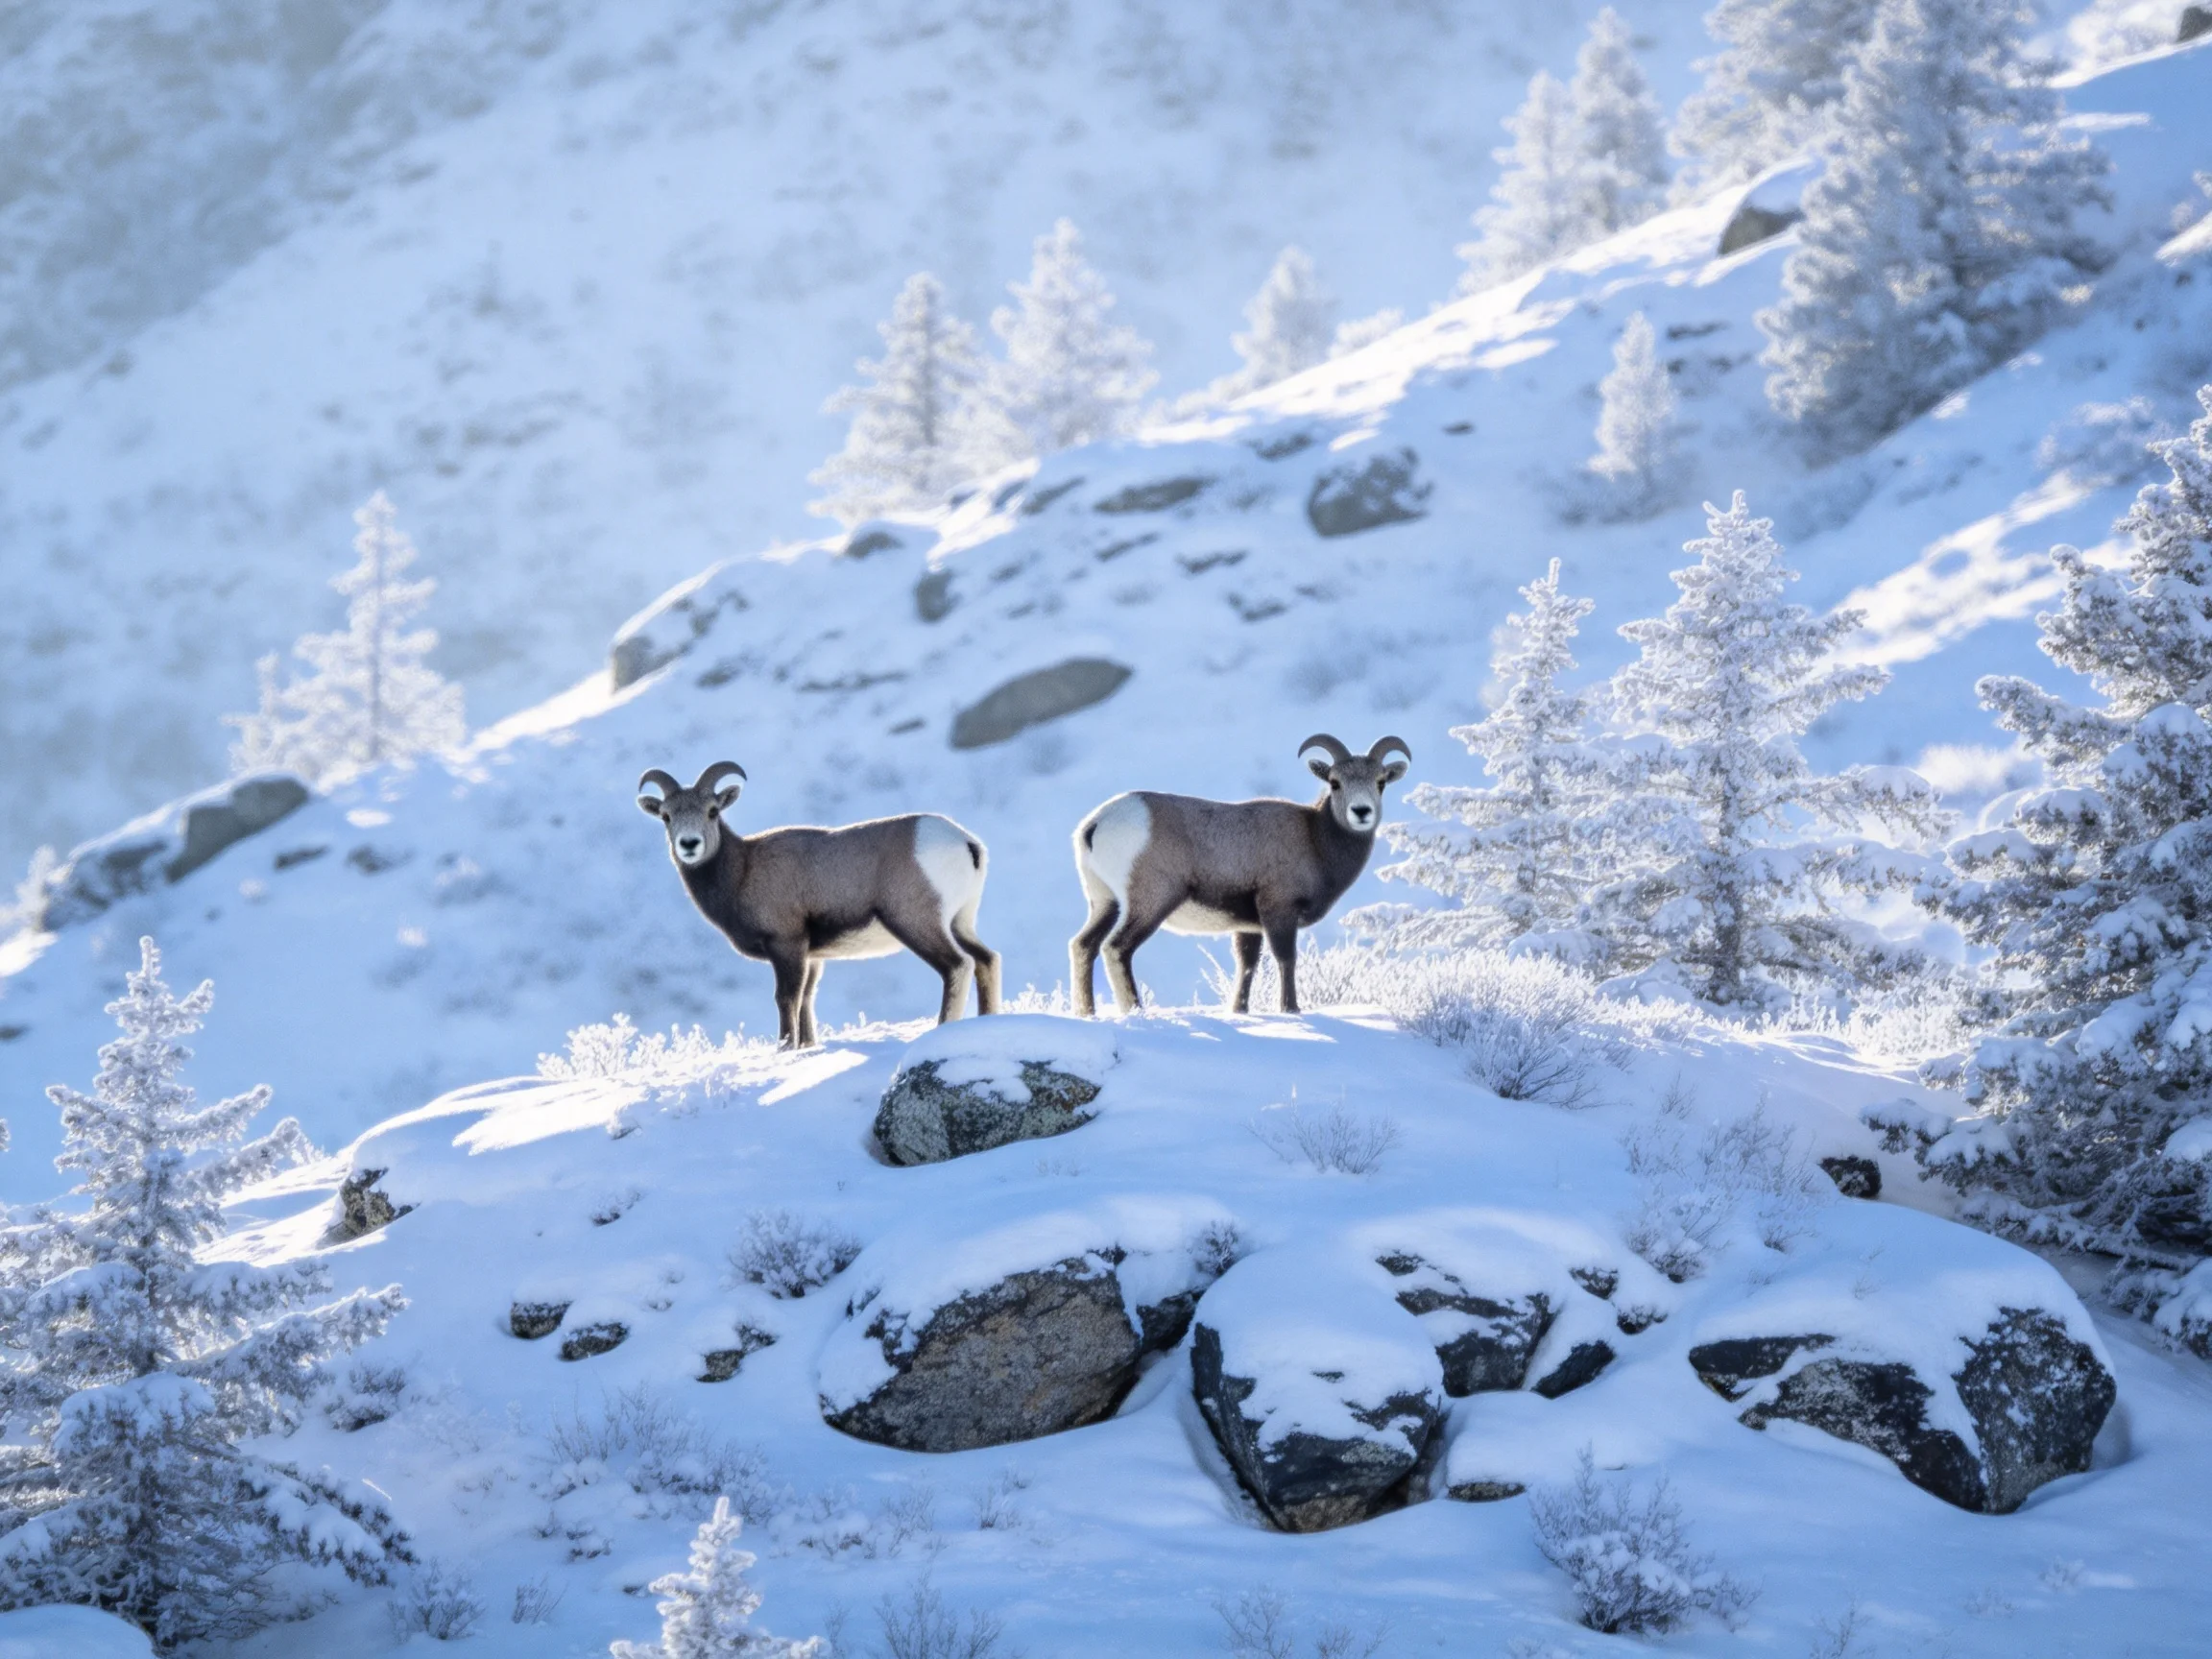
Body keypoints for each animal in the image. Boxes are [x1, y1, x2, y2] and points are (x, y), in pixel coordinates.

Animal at [638, 762, 1000, 1047]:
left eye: (712, 812)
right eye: (666, 816)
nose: (689, 844)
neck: (743, 870)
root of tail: (966, 844)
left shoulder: (786, 945)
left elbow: (787, 998)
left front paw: (784, 1049)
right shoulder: (811, 956)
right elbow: (806, 1000)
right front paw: (806, 1048)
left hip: (916, 923)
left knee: (958, 965)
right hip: (960, 923)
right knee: (986, 960)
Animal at [1069, 734, 1412, 1017]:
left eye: (1381, 782)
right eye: (1335, 782)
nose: (1361, 812)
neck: (1315, 839)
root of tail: (1096, 824)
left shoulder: (1248, 926)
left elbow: (1247, 965)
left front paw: (1240, 1011)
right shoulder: (1279, 911)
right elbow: (1286, 959)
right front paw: (1291, 1010)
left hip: (1105, 904)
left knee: (1084, 945)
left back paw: (1087, 1013)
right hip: (1151, 903)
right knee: (1117, 948)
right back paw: (1136, 1011)